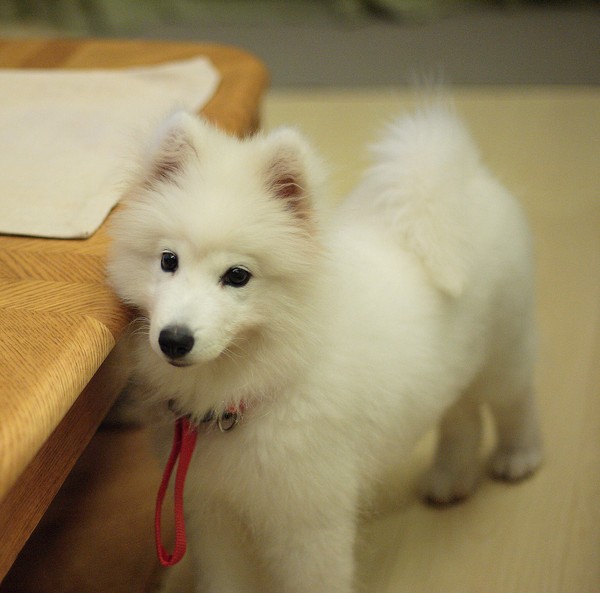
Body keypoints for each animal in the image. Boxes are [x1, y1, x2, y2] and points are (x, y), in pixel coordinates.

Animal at [108, 107, 544, 592]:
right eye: (169, 261)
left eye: (237, 275)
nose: (174, 338)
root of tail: (469, 179)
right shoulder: (212, 513)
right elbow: (226, 578)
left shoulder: (308, 522)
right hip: (451, 371)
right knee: (461, 415)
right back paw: (451, 478)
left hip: (504, 350)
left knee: (515, 401)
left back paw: (518, 458)